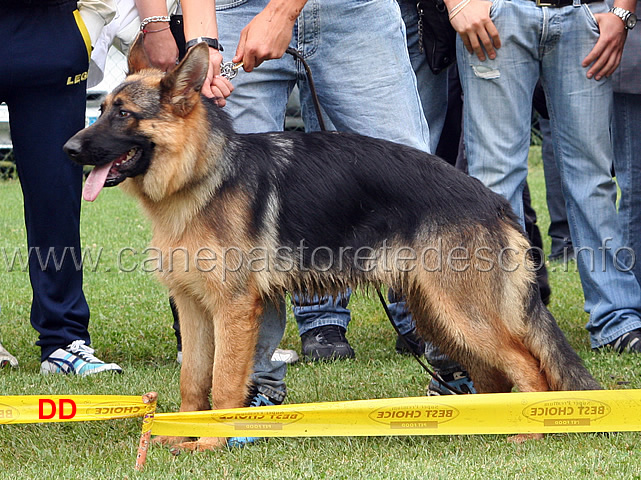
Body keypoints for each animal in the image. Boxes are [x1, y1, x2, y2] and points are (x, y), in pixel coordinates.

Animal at [63, 37, 600, 450]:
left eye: (124, 114)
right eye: (101, 109)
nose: (68, 149)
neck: (202, 175)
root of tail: (491, 199)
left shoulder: (232, 311)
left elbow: (222, 383)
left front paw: (212, 443)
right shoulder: (195, 309)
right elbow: (193, 384)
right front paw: (176, 438)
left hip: (461, 314)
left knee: (528, 368)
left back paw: (527, 434)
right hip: (440, 315)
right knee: (493, 375)